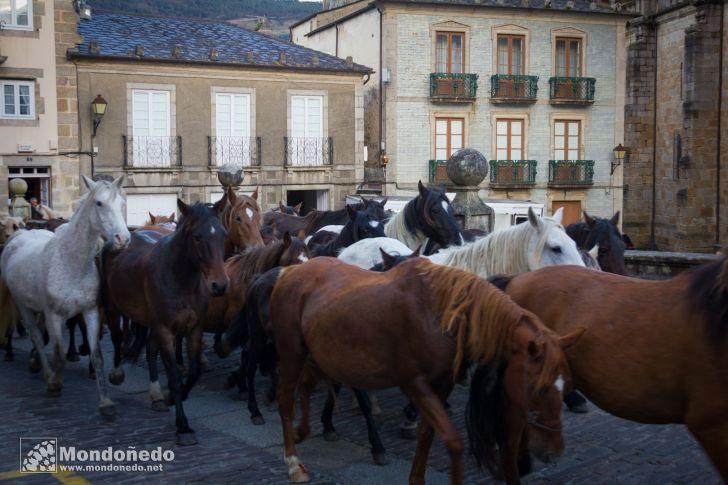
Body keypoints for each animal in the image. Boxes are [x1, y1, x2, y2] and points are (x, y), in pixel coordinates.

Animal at [0, 175, 129, 416]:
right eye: (99, 203)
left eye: (122, 203)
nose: (123, 239)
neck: (71, 262)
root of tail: (20, 234)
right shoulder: (54, 315)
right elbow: (58, 354)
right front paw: (55, 384)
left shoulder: (90, 311)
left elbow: (97, 356)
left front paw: (106, 403)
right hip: (23, 306)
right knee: (36, 335)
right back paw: (45, 372)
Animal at [101, 195, 229, 444]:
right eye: (197, 237)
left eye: (223, 234)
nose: (220, 285)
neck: (181, 279)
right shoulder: (166, 329)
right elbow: (175, 378)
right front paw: (183, 427)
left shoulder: (194, 328)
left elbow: (194, 372)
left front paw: (169, 397)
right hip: (112, 308)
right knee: (116, 336)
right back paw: (116, 373)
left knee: (150, 350)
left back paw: (156, 395)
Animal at [270, 255, 584, 482]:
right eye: (538, 389)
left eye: (567, 387)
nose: (554, 452)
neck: (440, 316)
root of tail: (291, 271)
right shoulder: (415, 383)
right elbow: (453, 442)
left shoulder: (440, 386)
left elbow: (426, 436)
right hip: (291, 353)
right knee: (285, 400)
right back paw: (293, 463)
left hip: (319, 355)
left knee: (306, 386)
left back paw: (303, 431)